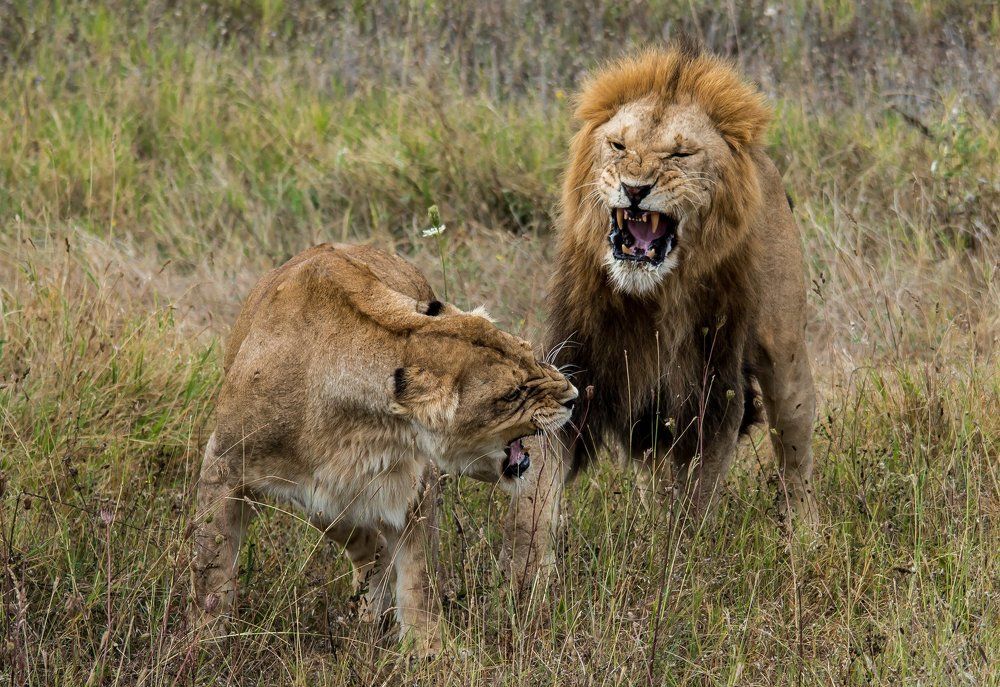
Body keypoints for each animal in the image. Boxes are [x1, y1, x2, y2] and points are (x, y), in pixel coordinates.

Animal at [190, 243, 577, 655]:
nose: (574, 397)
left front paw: (429, 649)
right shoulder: (224, 464)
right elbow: (211, 564)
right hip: (323, 503)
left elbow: (419, 577)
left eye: (529, 352)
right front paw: (205, 643)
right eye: (512, 394)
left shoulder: (415, 488)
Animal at [507, 43, 818, 579]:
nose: (635, 189)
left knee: (795, 460)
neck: (651, 298)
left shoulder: (716, 396)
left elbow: (693, 502)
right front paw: (529, 584)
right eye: (617, 146)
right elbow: (536, 500)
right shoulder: (576, 371)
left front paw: (676, 568)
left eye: (680, 154)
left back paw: (807, 542)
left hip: (786, 359)